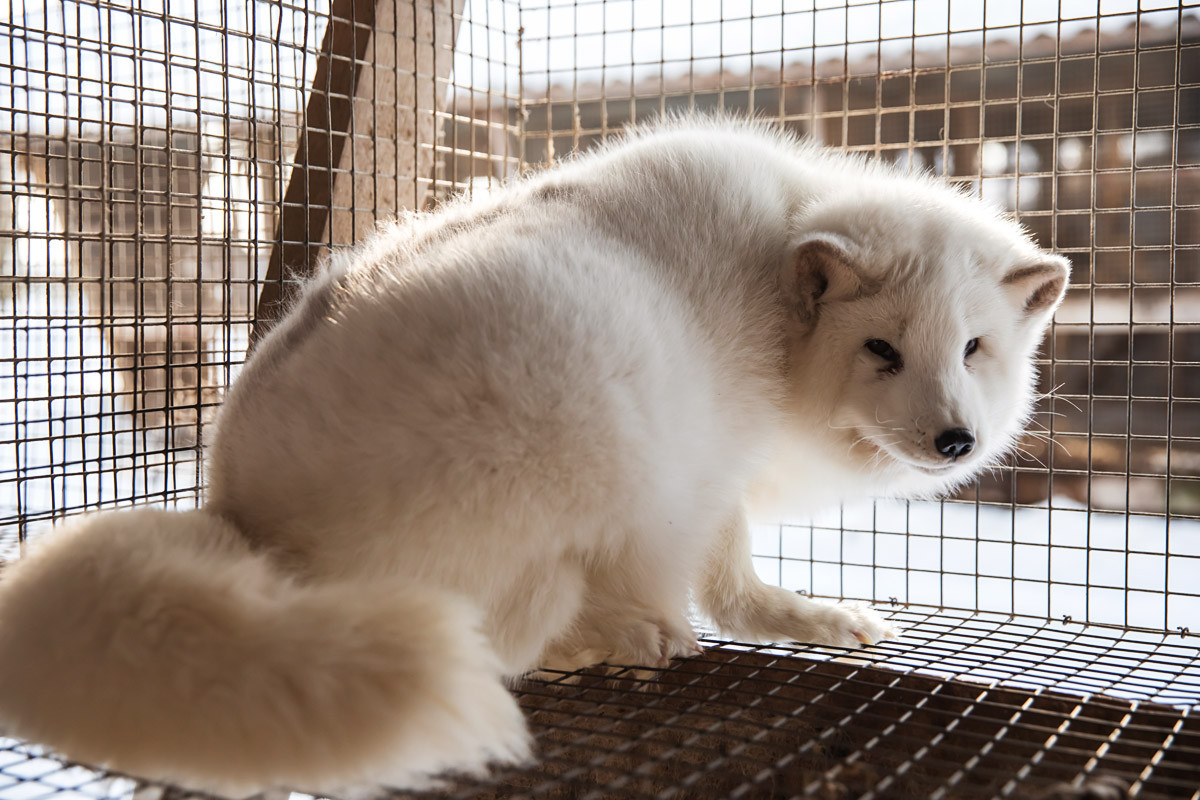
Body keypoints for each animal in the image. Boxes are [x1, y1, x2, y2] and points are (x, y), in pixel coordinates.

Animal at [0, 117, 1070, 796]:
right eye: (881, 349)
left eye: (973, 348)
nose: (956, 439)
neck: (776, 297)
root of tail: (239, 521)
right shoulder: (702, 473)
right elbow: (717, 584)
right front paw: (748, 618)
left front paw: (808, 617)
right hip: (587, 396)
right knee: (504, 641)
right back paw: (608, 638)